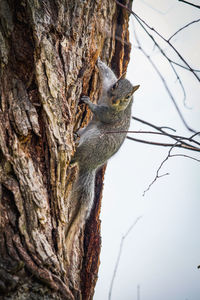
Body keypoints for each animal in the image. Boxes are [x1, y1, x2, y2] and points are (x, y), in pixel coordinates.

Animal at [65, 57, 139, 252]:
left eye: (127, 97)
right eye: (115, 85)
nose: (115, 99)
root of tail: (91, 165)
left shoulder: (112, 114)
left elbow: (100, 112)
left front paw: (89, 102)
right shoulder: (107, 83)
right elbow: (106, 72)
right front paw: (98, 62)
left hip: (95, 141)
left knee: (78, 155)